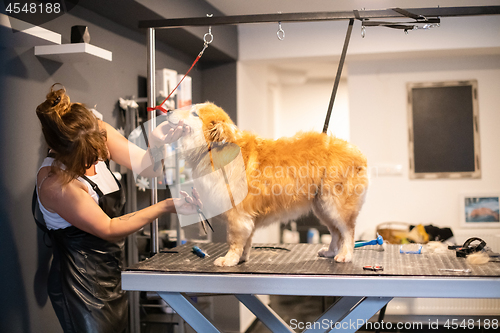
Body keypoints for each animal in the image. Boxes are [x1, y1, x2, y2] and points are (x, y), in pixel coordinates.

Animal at [168, 102, 368, 266]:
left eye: (194, 113)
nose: (168, 110)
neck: (214, 149)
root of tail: (357, 153)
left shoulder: (237, 215)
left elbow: (234, 240)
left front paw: (229, 259)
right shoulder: (247, 216)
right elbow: (247, 240)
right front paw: (242, 258)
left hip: (335, 204)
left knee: (348, 232)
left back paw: (345, 255)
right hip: (322, 207)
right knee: (335, 233)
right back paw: (330, 252)